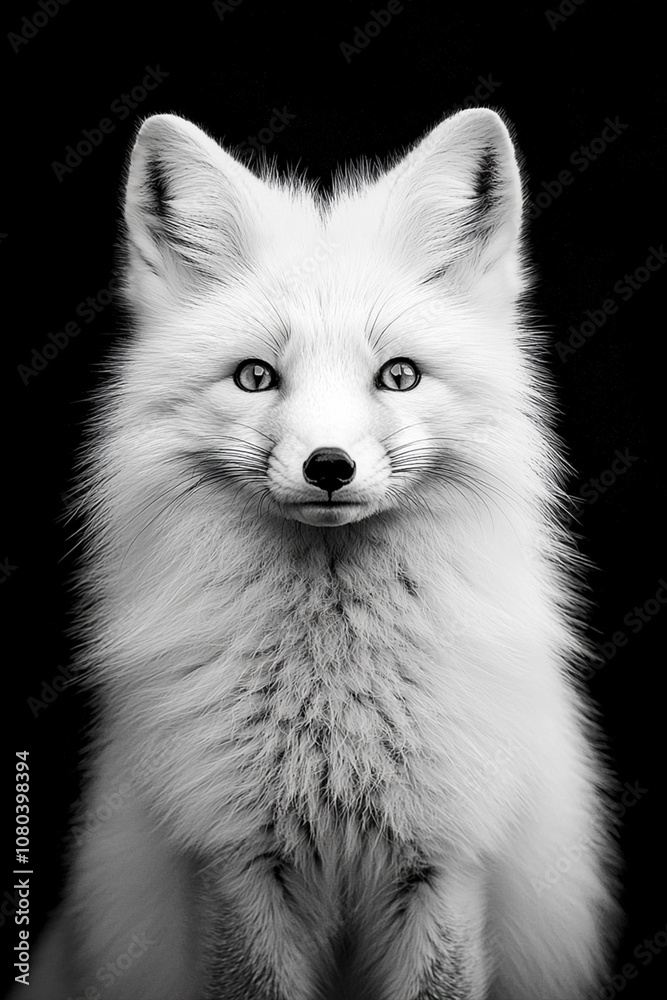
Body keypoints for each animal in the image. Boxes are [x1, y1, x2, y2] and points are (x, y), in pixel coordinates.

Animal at [18, 107, 620, 999]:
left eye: (398, 376)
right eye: (255, 377)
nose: (328, 467)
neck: (333, 709)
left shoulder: (446, 857)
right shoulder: (235, 856)